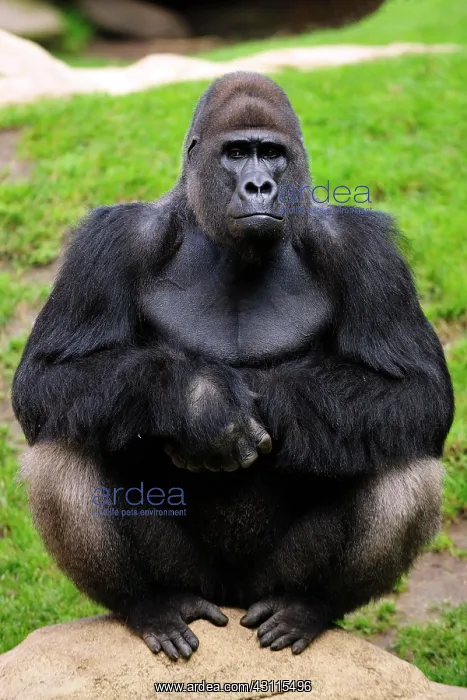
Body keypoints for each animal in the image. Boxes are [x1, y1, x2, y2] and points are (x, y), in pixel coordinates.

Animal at [13, 72, 454, 661]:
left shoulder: (364, 249)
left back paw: (307, 607)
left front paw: (267, 400)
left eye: (272, 154)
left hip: (268, 581)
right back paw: (151, 604)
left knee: (403, 456)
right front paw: (200, 402)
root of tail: (232, 597)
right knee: (64, 442)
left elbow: (418, 392)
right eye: (237, 153)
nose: (260, 187)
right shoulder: (114, 239)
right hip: (194, 579)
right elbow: (46, 377)